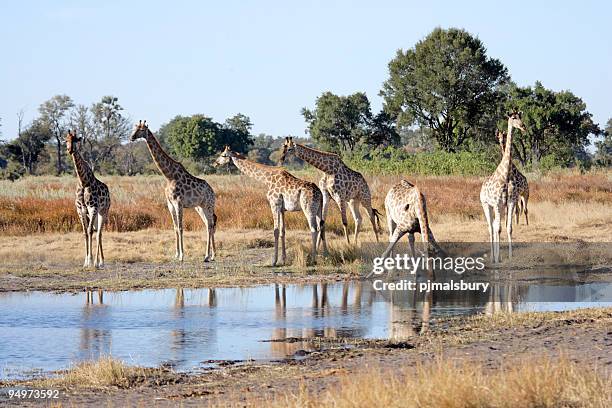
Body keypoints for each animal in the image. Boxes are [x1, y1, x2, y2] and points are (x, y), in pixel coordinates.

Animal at [66, 129, 110, 268]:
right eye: (66, 140)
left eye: (75, 139)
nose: (69, 150)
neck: (83, 181)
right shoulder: (81, 210)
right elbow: (85, 232)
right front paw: (85, 262)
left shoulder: (93, 208)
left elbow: (90, 231)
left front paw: (91, 261)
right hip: (93, 214)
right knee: (96, 231)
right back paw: (99, 261)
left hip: (103, 211)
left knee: (99, 232)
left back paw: (100, 262)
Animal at [129, 120, 215, 262]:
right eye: (134, 128)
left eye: (141, 130)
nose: (131, 137)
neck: (169, 176)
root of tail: (213, 192)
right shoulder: (170, 204)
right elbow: (175, 228)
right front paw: (176, 254)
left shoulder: (178, 203)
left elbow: (180, 227)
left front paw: (182, 256)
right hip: (200, 207)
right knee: (209, 224)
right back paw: (211, 255)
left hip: (208, 205)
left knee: (210, 225)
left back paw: (208, 255)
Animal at [478, 113, 524, 262]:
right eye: (513, 118)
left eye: (520, 117)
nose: (523, 126)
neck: (506, 176)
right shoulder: (497, 203)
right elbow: (498, 229)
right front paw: (498, 258)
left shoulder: (510, 202)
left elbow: (508, 228)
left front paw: (510, 256)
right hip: (486, 204)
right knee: (490, 227)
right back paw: (493, 257)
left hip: (498, 207)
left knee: (494, 225)